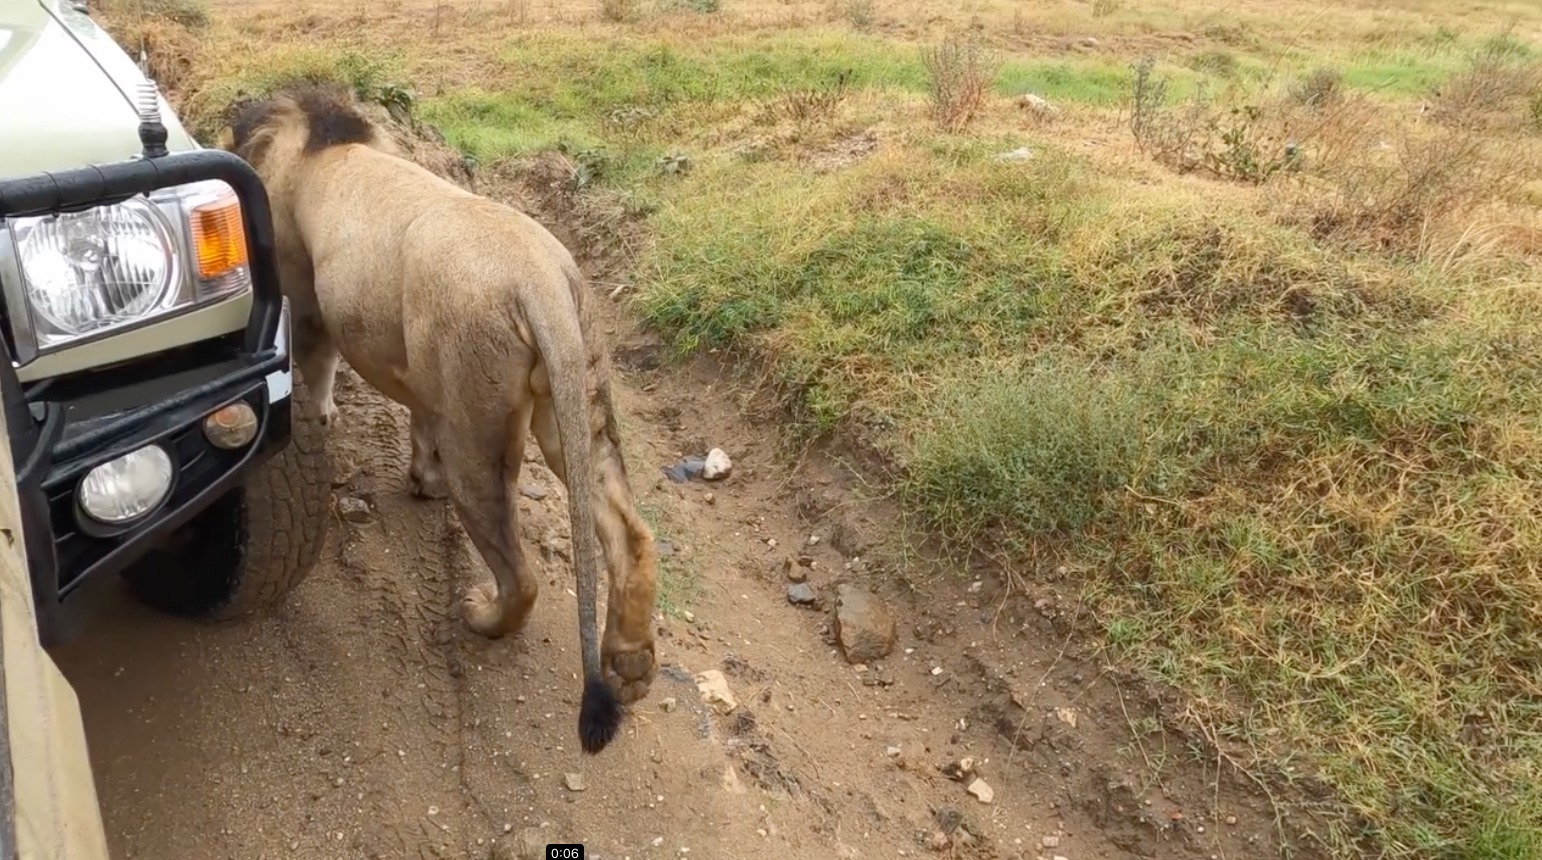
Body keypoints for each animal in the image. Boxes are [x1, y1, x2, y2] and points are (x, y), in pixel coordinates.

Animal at [221, 84, 658, 754]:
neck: (315, 145)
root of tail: (538, 280)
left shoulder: (308, 299)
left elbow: (318, 370)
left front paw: (321, 420)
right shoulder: (421, 380)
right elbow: (415, 414)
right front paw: (418, 478)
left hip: (474, 428)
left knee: (522, 576)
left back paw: (482, 616)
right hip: (580, 401)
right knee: (630, 534)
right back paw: (630, 665)